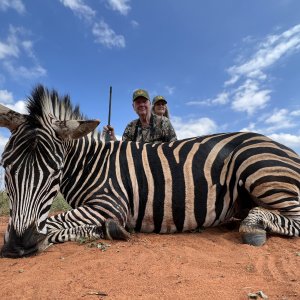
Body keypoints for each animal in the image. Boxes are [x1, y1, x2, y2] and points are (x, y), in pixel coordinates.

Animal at [0, 85, 298, 258]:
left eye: (55, 172)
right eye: (6, 167)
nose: (17, 246)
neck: (91, 163)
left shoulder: (111, 204)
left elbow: (52, 222)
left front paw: (104, 230)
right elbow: (53, 223)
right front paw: (102, 230)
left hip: (259, 169)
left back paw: (253, 227)